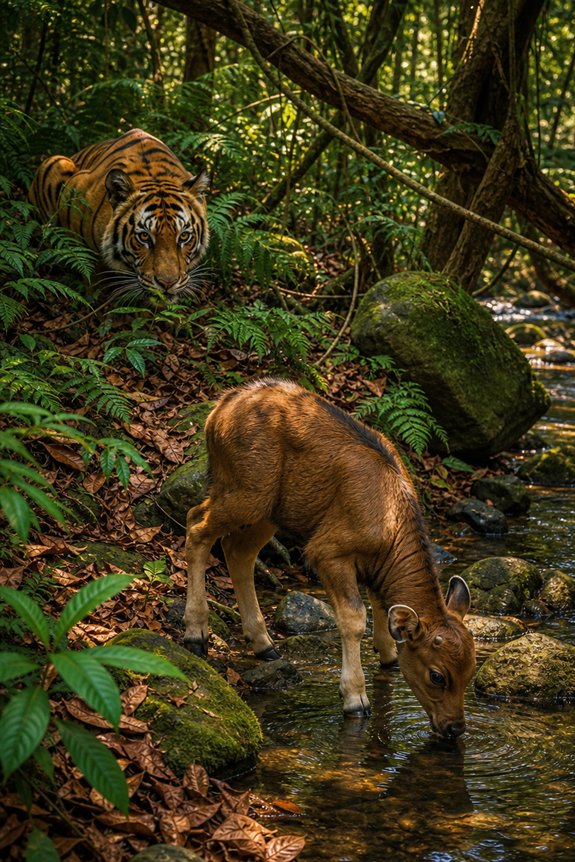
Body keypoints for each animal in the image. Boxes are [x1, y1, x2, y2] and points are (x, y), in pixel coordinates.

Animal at [28, 128, 210, 300]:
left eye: (184, 236)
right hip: (55, 162)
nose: (167, 283)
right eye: (144, 237)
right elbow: (90, 267)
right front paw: (94, 297)